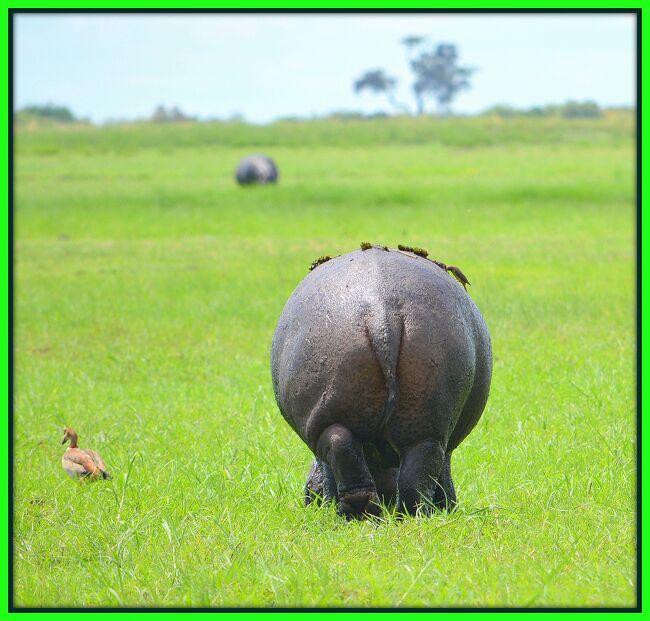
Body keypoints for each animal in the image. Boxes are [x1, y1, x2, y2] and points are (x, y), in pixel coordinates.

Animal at [270, 247, 492, 520]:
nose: (308, 496)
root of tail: (380, 312)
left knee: (352, 455)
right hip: (421, 425)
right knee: (400, 466)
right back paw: (393, 515)